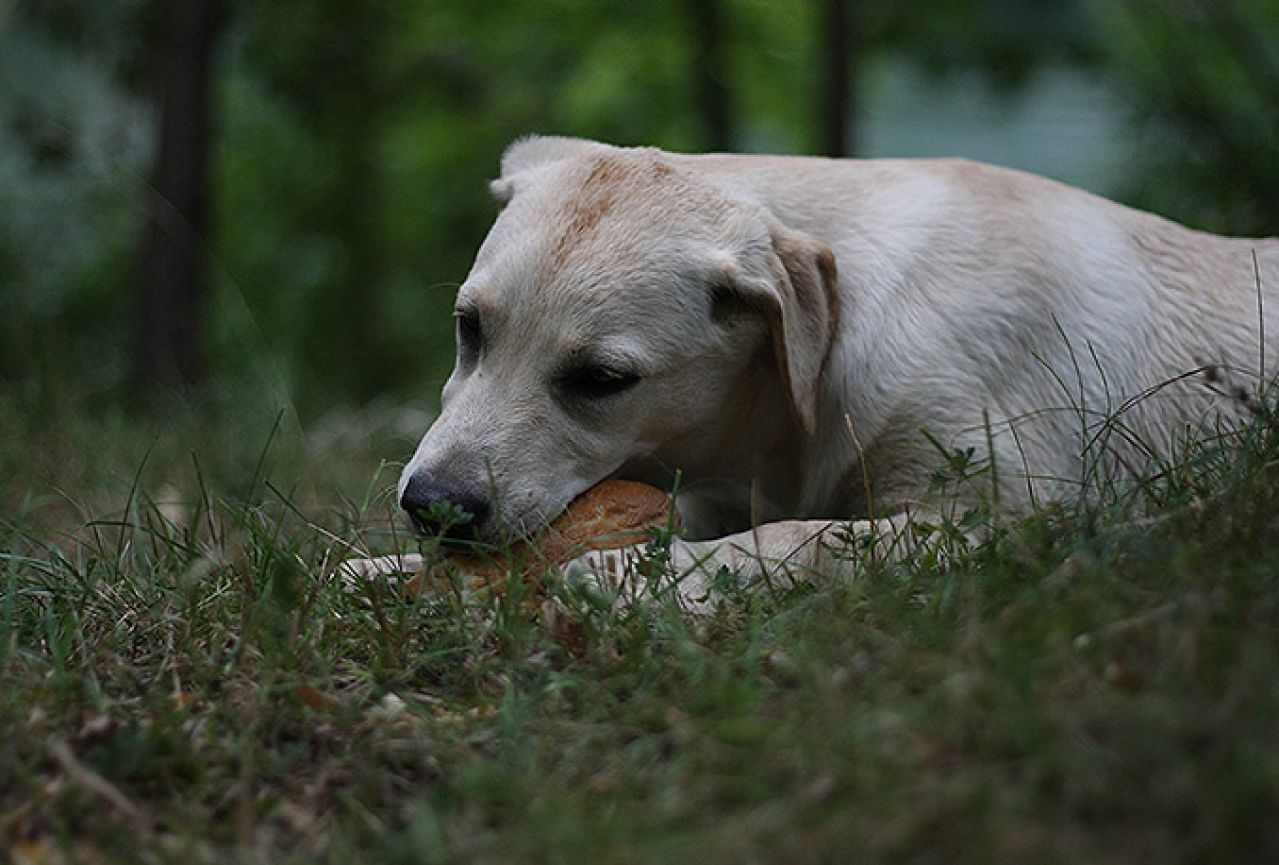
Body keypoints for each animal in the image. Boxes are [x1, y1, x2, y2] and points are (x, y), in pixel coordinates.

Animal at [388, 136, 1279, 609]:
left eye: (601, 380)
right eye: (469, 328)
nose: (431, 505)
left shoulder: (1007, 516)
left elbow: (798, 539)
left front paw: (626, 573)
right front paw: (379, 570)